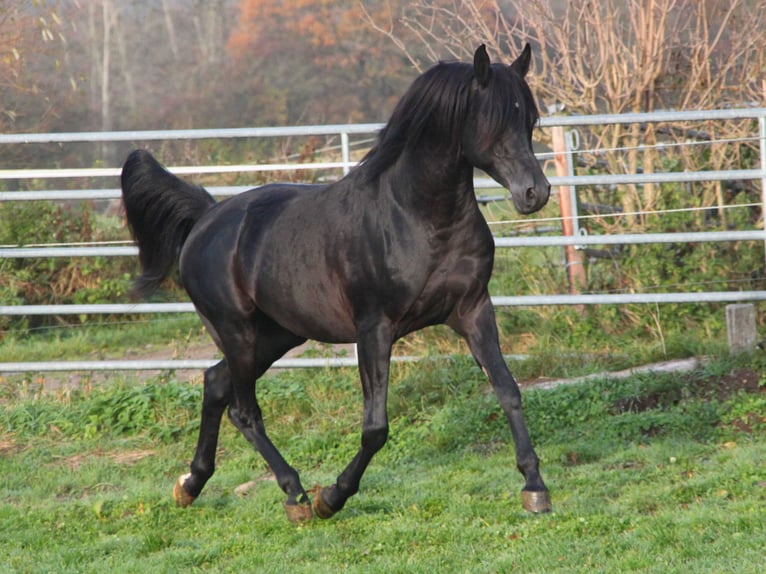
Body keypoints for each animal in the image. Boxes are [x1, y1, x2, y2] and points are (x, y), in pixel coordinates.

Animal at [120, 42, 552, 524]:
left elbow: (508, 391)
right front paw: (333, 496)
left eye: (529, 120)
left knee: (215, 385)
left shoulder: (474, 310)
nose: (535, 193)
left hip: (278, 335)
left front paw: (535, 487)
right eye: (492, 120)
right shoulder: (375, 328)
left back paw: (191, 484)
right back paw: (296, 496)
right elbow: (375, 428)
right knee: (243, 410)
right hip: (238, 334)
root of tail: (207, 218)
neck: (416, 217)